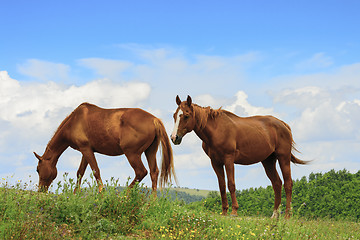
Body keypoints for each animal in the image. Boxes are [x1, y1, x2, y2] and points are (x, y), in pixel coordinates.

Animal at [33, 102, 176, 193]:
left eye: (38, 169)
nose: (41, 190)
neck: (74, 121)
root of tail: (154, 119)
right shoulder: (86, 151)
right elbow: (80, 173)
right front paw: (74, 195)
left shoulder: (86, 149)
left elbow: (96, 171)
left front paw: (101, 194)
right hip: (150, 151)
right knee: (154, 172)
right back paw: (153, 202)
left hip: (132, 154)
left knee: (141, 172)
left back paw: (123, 196)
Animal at [170, 95, 308, 218]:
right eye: (174, 116)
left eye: (186, 115)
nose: (174, 138)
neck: (217, 130)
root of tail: (283, 124)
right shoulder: (215, 162)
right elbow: (222, 186)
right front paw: (224, 211)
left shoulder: (229, 159)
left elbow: (231, 184)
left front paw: (234, 211)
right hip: (268, 161)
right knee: (277, 184)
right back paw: (275, 215)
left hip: (283, 157)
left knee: (288, 183)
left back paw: (287, 215)